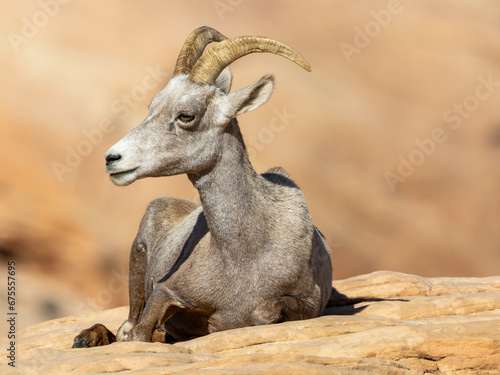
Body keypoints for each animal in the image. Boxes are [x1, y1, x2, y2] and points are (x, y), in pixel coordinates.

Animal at [72, 26, 332, 350]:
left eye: (186, 115)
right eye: (152, 108)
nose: (112, 158)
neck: (246, 257)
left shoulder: (308, 303)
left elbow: (263, 313)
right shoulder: (166, 292)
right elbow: (136, 333)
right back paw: (85, 338)